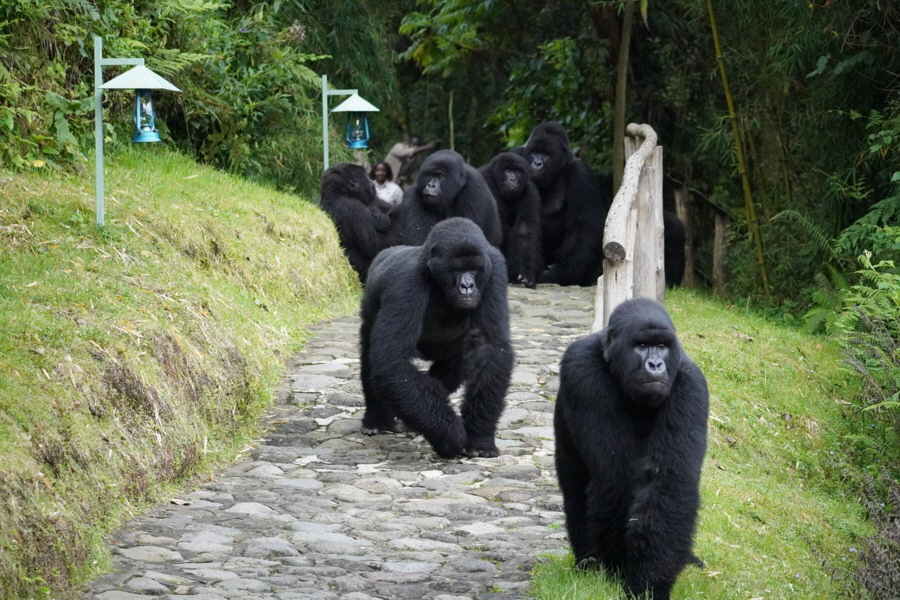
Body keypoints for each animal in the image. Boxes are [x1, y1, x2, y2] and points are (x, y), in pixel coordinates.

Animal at [358, 218, 512, 458]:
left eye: (474, 270)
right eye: (457, 270)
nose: (467, 286)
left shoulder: (494, 268)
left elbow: (489, 349)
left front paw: (480, 437)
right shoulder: (407, 281)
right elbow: (392, 361)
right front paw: (450, 435)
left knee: (449, 370)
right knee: (370, 358)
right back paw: (377, 419)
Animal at [478, 152, 540, 288]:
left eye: (517, 171)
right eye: (507, 170)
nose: (512, 179)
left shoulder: (529, 190)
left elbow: (524, 231)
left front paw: (527, 274)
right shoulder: (488, 180)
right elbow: (500, 227)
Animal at [516, 121, 608, 286]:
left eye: (546, 154)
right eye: (534, 152)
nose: (537, 163)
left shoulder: (582, 174)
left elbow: (585, 231)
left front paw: (558, 274)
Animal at [552, 298, 708, 596]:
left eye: (662, 345)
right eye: (641, 345)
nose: (655, 364)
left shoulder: (691, 382)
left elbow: (670, 480)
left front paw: (649, 581)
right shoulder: (582, 369)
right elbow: (616, 474)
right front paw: (624, 571)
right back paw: (589, 560)